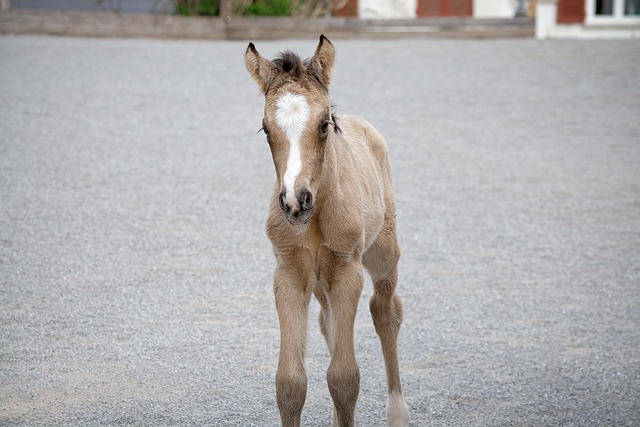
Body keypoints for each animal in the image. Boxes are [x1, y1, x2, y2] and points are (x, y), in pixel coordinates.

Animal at [245, 36, 410, 427]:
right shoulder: (289, 273)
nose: (295, 201)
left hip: (383, 253)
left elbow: (345, 377)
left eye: (323, 124)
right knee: (327, 320)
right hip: (320, 278)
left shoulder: (348, 271)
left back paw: (397, 412)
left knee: (386, 310)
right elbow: (289, 382)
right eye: (265, 128)